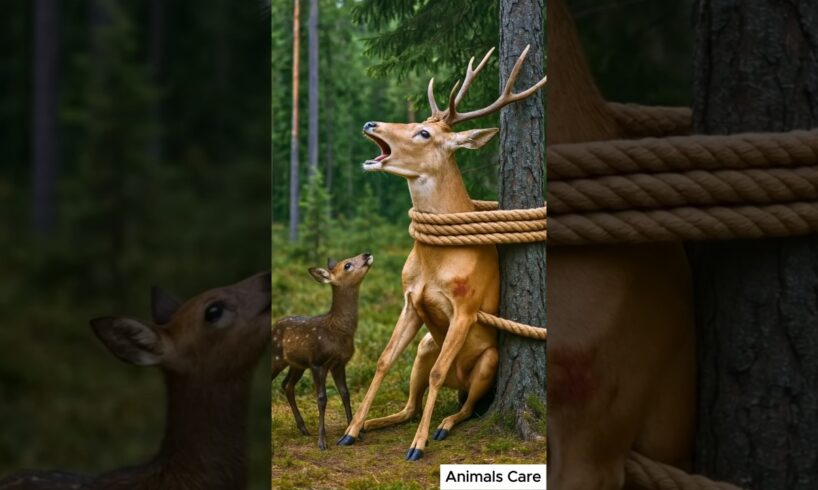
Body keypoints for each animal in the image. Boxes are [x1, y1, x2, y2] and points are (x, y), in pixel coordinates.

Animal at [272, 252, 374, 451]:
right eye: (347, 265)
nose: (366, 254)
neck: (337, 330)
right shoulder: (318, 362)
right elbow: (321, 398)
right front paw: (322, 442)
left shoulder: (339, 363)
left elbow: (345, 393)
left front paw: (353, 434)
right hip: (276, 357)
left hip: (297, 364)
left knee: (287, 385)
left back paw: (303, 428)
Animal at [335, 46, 547, 461]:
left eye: (424, 132)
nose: (370, 123)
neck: (435, 263)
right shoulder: (410, 300)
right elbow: (383, 360)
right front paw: (350, 430)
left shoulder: (466, 306)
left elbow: (436, 374)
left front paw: (417, 446)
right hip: (425, 345)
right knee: (411, 404)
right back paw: (372, 424)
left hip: (488, 361)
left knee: (467, 405)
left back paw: (443, 425)